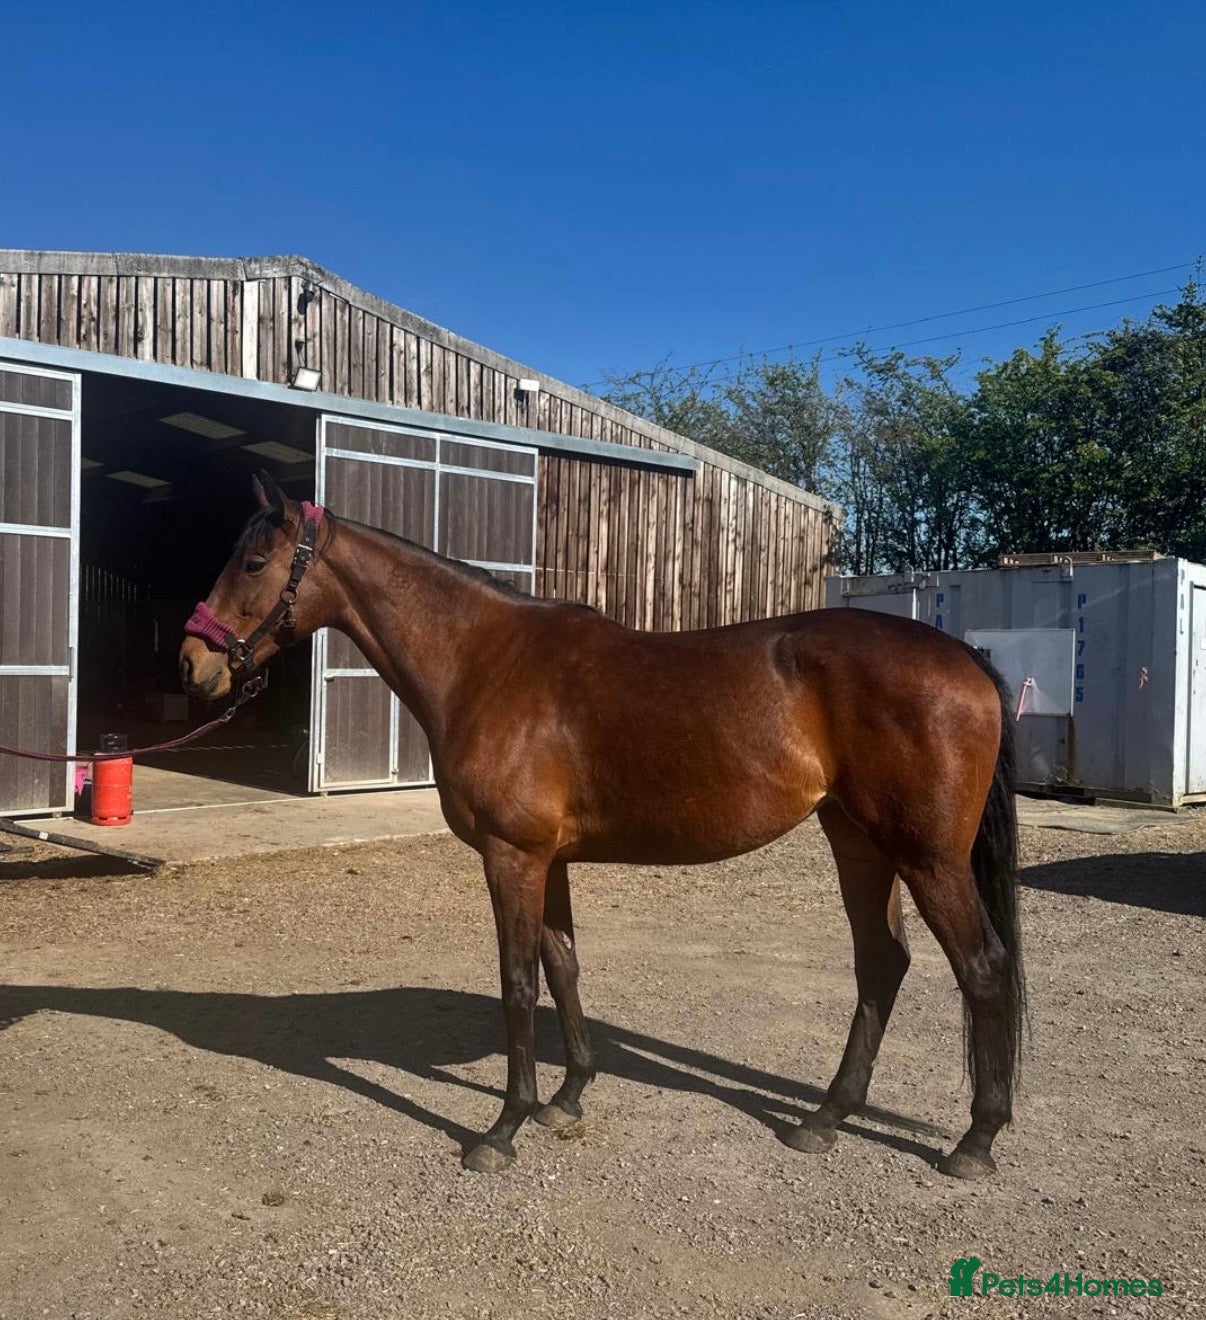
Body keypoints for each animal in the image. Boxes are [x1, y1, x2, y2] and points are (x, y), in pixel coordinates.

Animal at [179, 471, 1025, 1180]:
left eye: (254, 561)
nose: (193, 664)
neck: (485, 661)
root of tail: (965, 658)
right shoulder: (548, 859)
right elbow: (563, 966)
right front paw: (566, 1098)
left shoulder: (511, 856)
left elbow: (518, 982)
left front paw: (503, 1128)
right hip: (858, 842)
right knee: (882, 962)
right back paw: (825, 1117)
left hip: (927, 857)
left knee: (982, 968)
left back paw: (975, 1141)